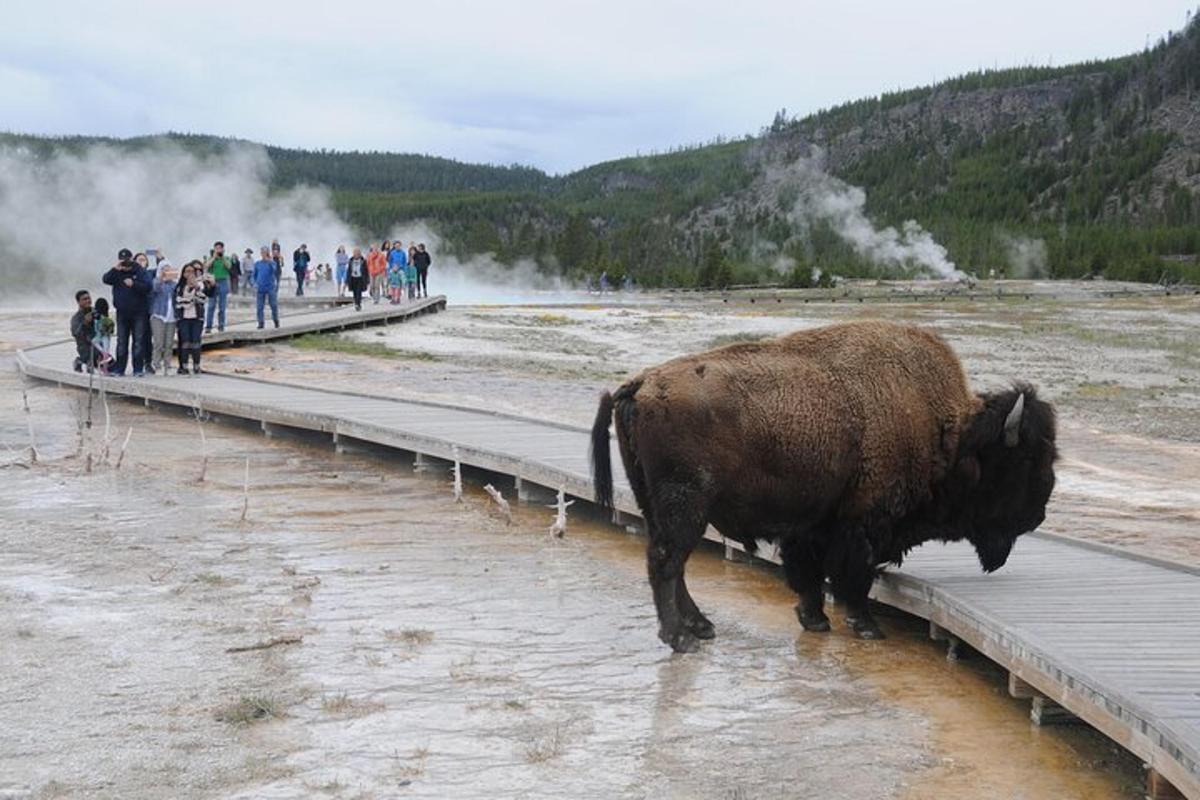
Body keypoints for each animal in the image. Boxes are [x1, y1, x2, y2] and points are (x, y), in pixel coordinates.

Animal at [590, 320, 1057, 653]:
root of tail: (641, 384)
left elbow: (809, 575)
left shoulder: (813, 524)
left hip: (658, 505)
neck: (947, 432)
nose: (1037, 516)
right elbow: (855, 577)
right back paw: (681, 638)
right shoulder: (863, 523)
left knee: (672, 562)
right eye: (1024, 461)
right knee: (666, 562)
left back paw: (701, 627)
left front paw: (814, 620)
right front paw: (867, 628)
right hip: (685, 505)